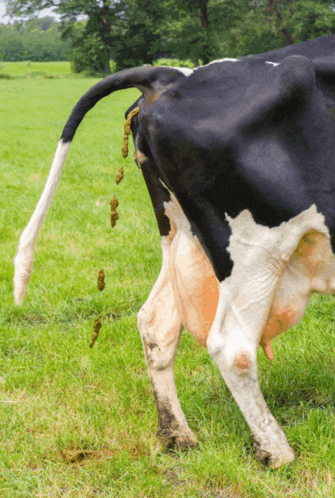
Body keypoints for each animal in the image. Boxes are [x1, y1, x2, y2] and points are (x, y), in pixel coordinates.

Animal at [15, 34, 335, 466]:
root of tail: (169, 75)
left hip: (181, 236)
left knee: (155, 322)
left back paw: (176, 436)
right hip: (256, 247)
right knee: (232, 345)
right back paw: (275, 450)